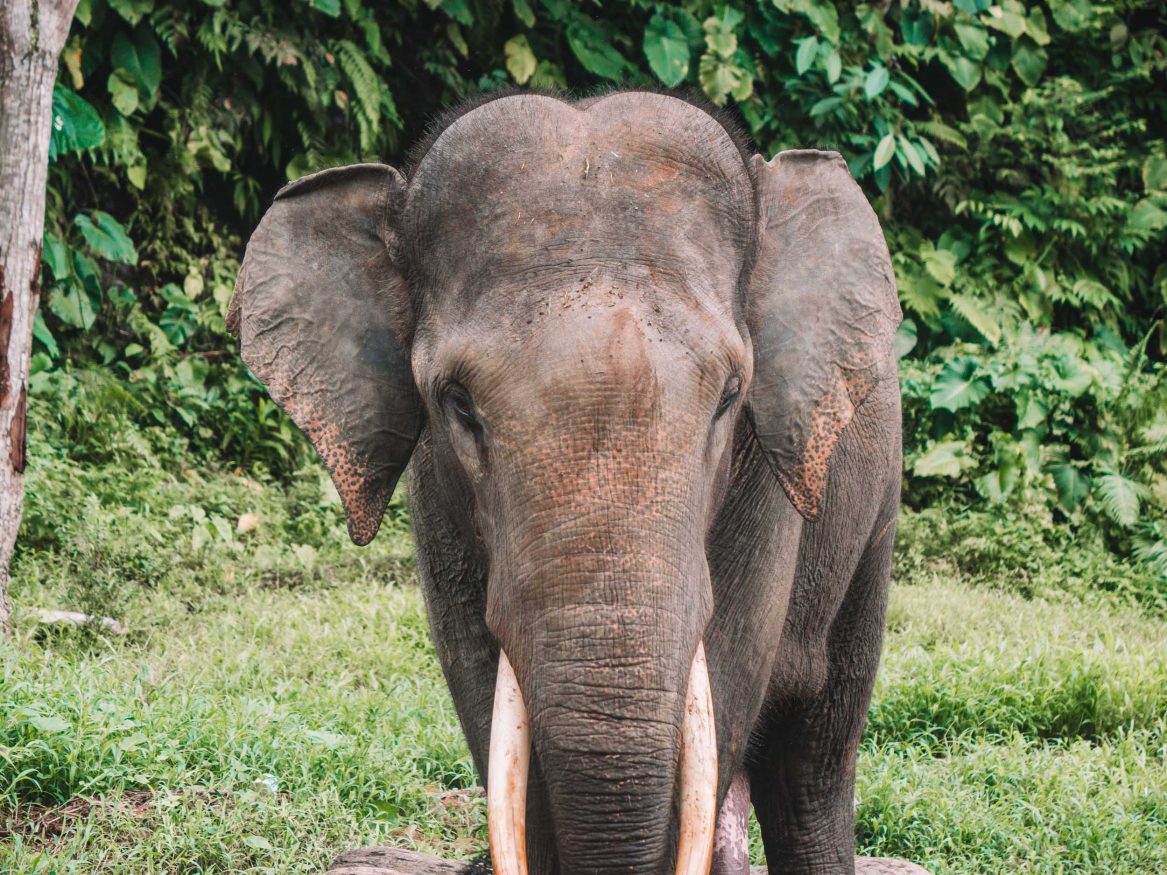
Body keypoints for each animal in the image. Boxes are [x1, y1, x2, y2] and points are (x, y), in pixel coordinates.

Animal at [228, 91, 903, 875]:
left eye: (730, 396)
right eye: (458, 403)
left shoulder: (766, 485)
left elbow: (731, 670)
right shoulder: (436, 498)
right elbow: (478, 682)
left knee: (813, 760)